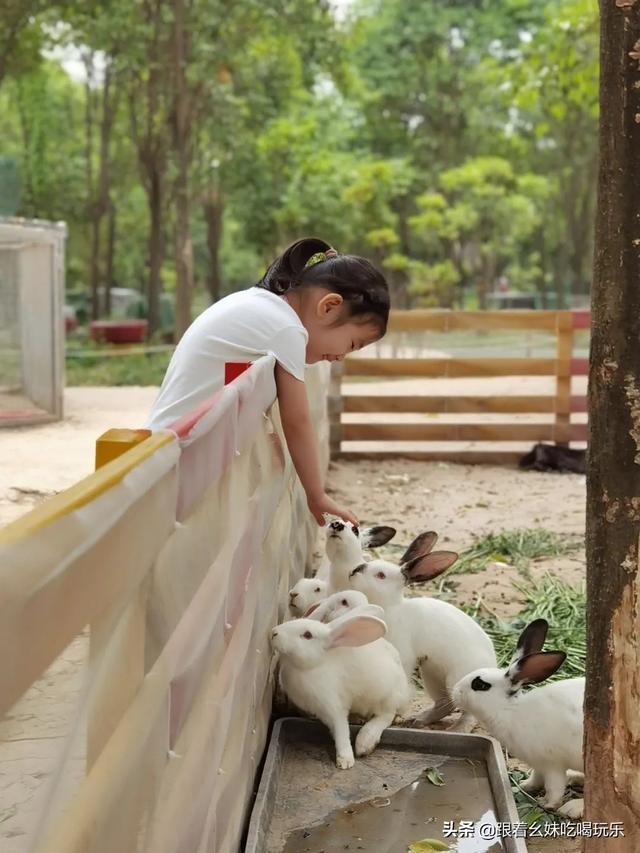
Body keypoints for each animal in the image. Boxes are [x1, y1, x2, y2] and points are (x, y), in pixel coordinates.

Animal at [270, 608, 410, 768]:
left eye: (307, 635)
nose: (274, 632)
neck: (314, 665)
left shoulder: (333, 706)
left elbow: (341, 730)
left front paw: (345, 760)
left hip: (385, 697)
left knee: (386, 716)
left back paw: (365, 743)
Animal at [348, 528, 498, 728]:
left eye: (380, 575)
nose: (354, 571)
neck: (391, 607)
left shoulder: (403, 655)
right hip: (432, 676)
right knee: (444, 704)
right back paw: (418, 720)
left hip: (457, 681)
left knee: (468, 712)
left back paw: (457, 728)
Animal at [452, 620, 584, 820]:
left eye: (480, 684)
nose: (454, 691)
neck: (511, 710)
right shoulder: (538, 764)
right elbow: (536, 778)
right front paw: (522, 787)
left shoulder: (552, 765)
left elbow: (554, 788)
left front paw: (546, 804)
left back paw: (573, 807)